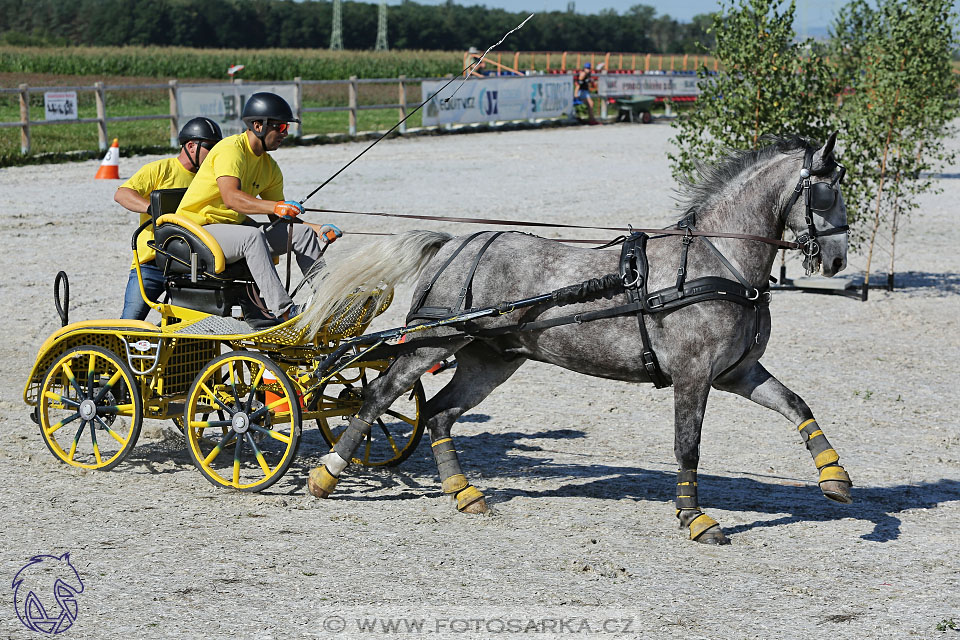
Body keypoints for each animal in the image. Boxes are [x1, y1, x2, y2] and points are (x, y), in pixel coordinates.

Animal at [298, 135, 848, 544]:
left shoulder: (737, 372)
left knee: (439, 412)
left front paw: (835, 479)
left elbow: (796, 406)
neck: (719, 262)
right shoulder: (693, 376)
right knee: (379, 396)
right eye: (825, 193)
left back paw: (463, 492)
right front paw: (695, 519)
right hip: (433, 341)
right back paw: (325, 474)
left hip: (490, 358)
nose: (838, 259)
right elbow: (687, 446)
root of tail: (457, 243)